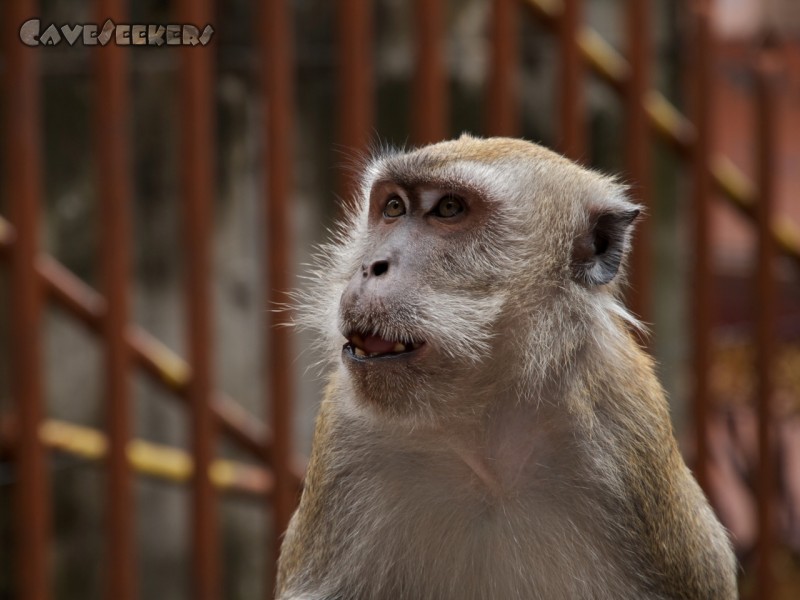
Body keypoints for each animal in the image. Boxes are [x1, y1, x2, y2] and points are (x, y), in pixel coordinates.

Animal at [276, 136, 736, 600]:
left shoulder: (630, 432)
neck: (486, 437)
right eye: (393, 208)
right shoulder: (343, 435)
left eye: (449, 208)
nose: (371, 266)